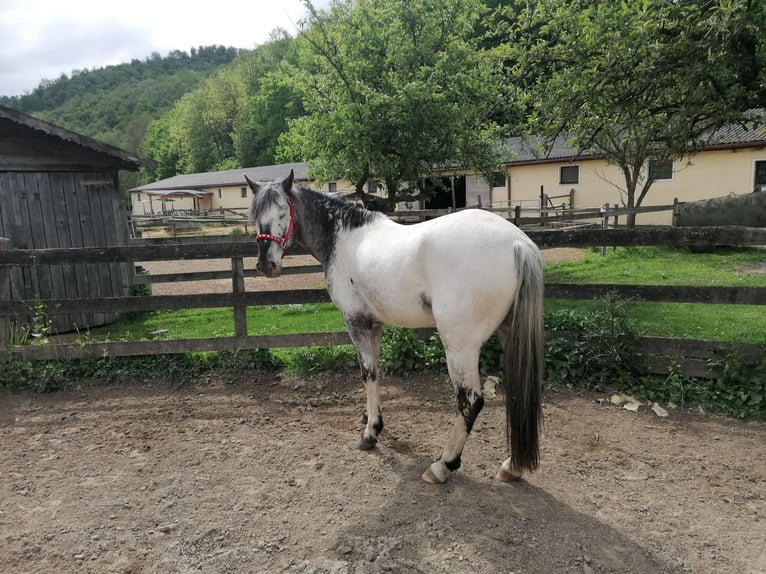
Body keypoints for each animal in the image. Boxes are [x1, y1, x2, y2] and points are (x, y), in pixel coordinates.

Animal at [248, 172, 544, 486]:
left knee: (471, 402)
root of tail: (517, 244)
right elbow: (376, 374)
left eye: (283, 211)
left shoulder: (356, 322)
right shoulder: (374, 324)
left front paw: (370, 433)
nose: (266, 265)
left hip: (460, 347)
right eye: (255, 215)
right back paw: (511, 466)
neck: (344, 237)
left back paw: (442, 466)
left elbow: (367, 374)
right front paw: (369, 418)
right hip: (509, 334)